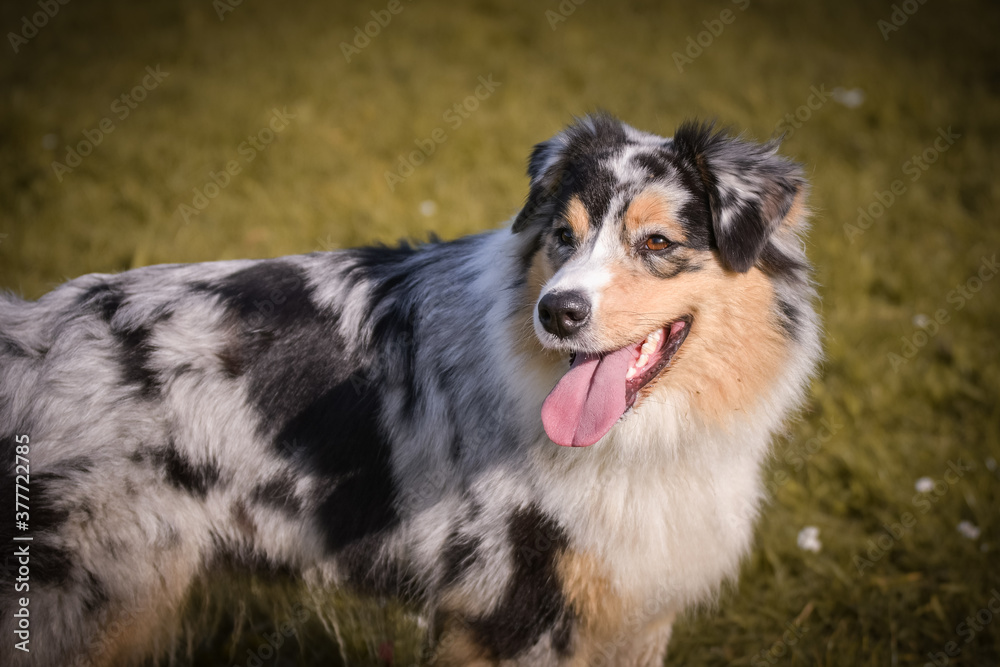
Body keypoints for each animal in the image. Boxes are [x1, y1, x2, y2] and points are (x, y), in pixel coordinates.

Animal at [0, 113, 820, 664]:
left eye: (657, 243)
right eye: (562, 234)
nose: (556, 312)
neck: (650, 434)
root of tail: (33, 333)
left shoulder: (633, 608)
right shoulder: (511, 612)